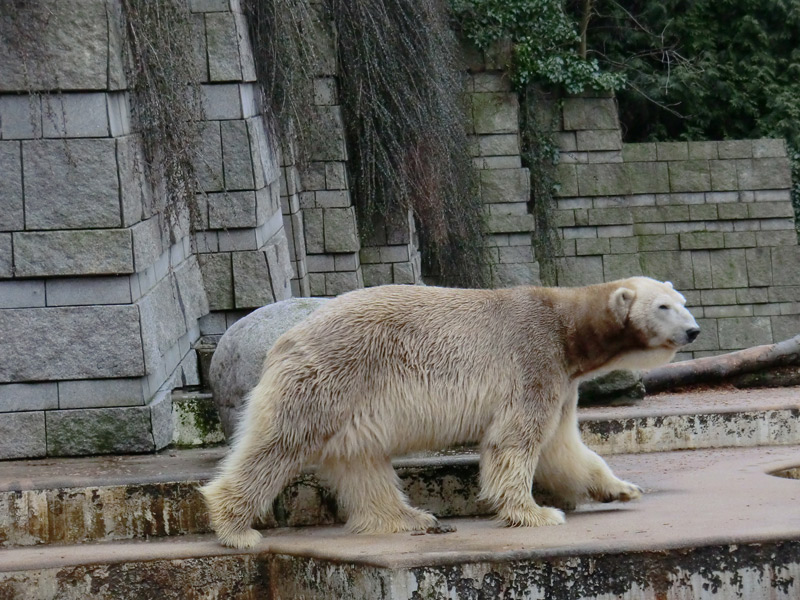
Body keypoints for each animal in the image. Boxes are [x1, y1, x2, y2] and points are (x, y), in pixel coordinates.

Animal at [203, 278, 696, 548]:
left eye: (683, 301)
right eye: (663, 306)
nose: (693, 330)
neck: (566, 325)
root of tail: (284, 341)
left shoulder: (562, 378)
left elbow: (563, 448)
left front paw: (622, 488)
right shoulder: (533, 358)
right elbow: (516, 440)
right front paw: (536, 513)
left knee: (361, 461)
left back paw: (410, 518)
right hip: (331, 376)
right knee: (279, 444)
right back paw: (235, 527)